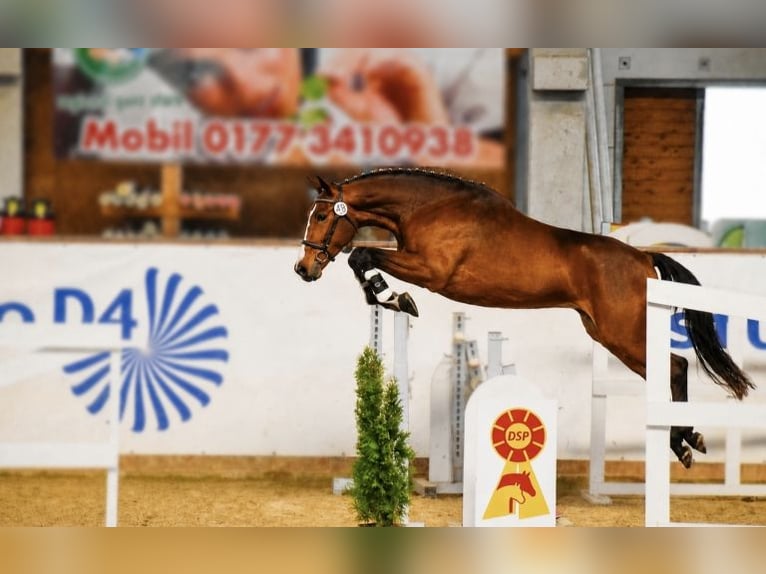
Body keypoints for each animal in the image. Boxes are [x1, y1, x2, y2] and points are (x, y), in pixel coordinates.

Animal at [293, 167, 755, 468]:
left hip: (622, 333)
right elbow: (361, 259)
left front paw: (396, 298)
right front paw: (388, 297)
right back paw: (684, 440)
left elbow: (361, 254)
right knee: (670, 370)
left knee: (674, 368)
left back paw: (684, 440)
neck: (428, 207)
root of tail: (643, 257)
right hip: (607, 333)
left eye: (322, 216)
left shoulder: (431, 270)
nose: (303, 268)